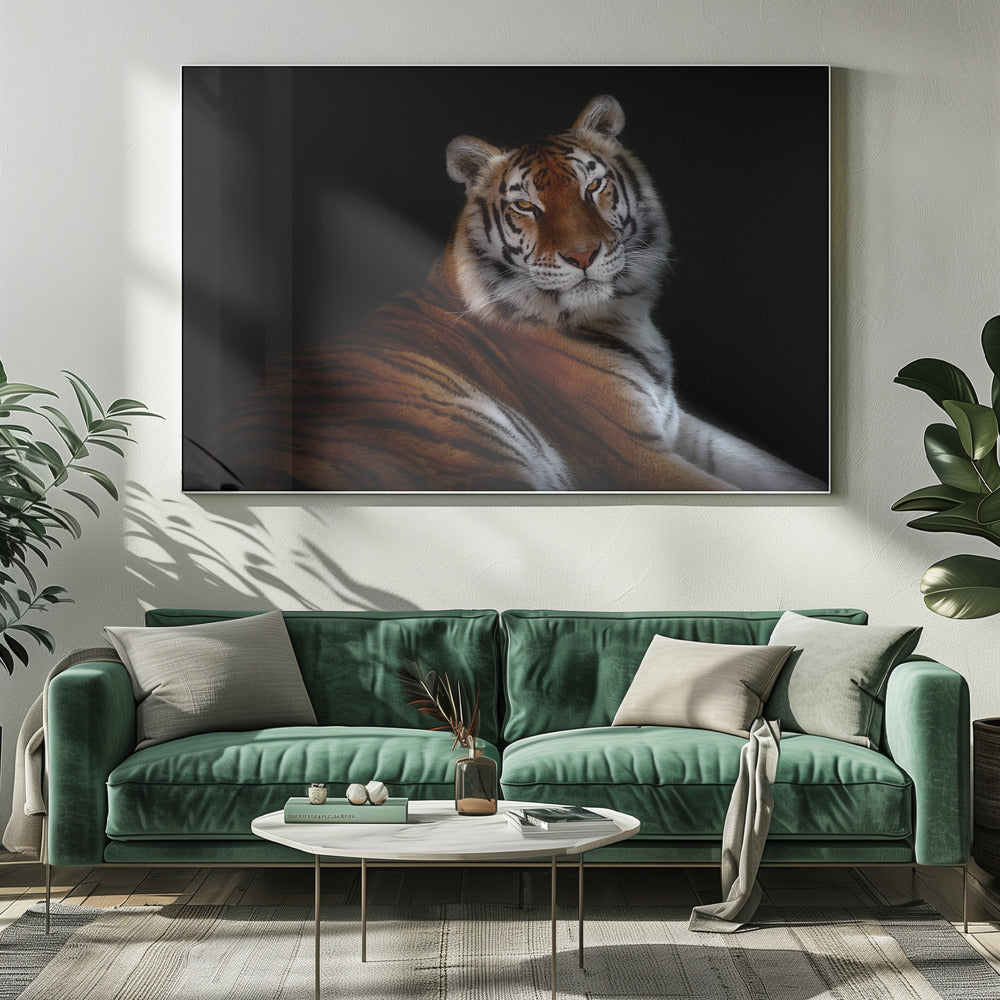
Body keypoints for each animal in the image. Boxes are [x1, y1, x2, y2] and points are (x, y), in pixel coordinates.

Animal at [220, 95, 825, 492]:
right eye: (526, 206)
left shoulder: (680, 426)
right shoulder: (631, 456)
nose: (582, 255)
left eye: (593, 187)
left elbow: (776, 471)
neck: (625, 314)